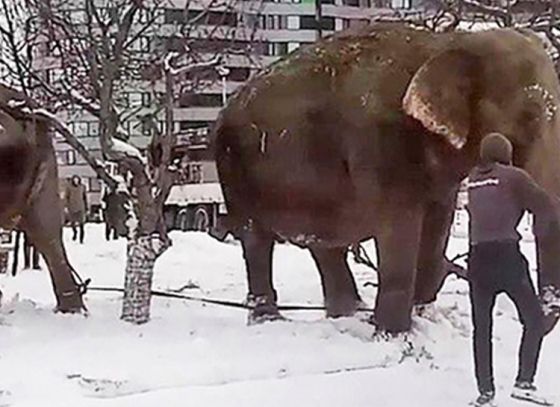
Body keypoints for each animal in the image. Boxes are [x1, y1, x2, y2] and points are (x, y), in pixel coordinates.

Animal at [212, 23, 560, 334]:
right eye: (530, 116)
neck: (447, 43)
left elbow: (438, 223)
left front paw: (420, 316)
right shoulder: (380, 141)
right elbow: (399, 224)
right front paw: (392, 334)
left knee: (325, 242)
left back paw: (349, 314)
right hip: (235, 169)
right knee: (256, 240)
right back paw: (270, 321)